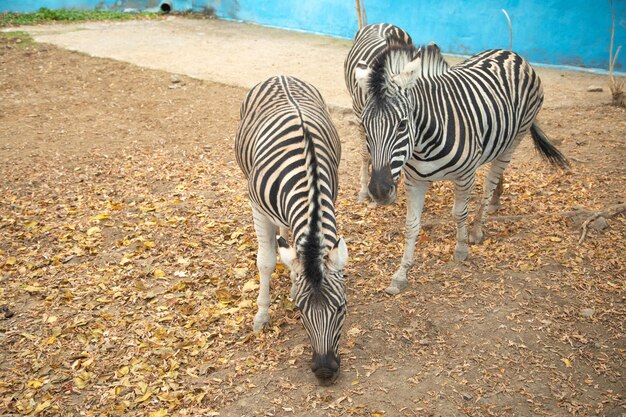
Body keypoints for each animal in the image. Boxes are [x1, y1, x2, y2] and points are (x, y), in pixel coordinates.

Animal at [234, 75, 348, 384]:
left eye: (341, 307)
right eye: (300, 311)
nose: (324, 371)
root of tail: (280, 76)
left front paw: (294, 281)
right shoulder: (257, 209)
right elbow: (265, 262)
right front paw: (262, 315)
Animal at [354, 41, 568, 292]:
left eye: (402, 125)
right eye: (364, 126)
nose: (378, 191)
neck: (422, 145)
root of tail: (512, 54)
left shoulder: (465, 175)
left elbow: (459, 213)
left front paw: (461, 249)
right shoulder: (414, 181)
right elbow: (411, 225)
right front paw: (400, 274)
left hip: (516, 138)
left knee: (490, 181)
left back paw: (477, 229)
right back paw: (496, 200)